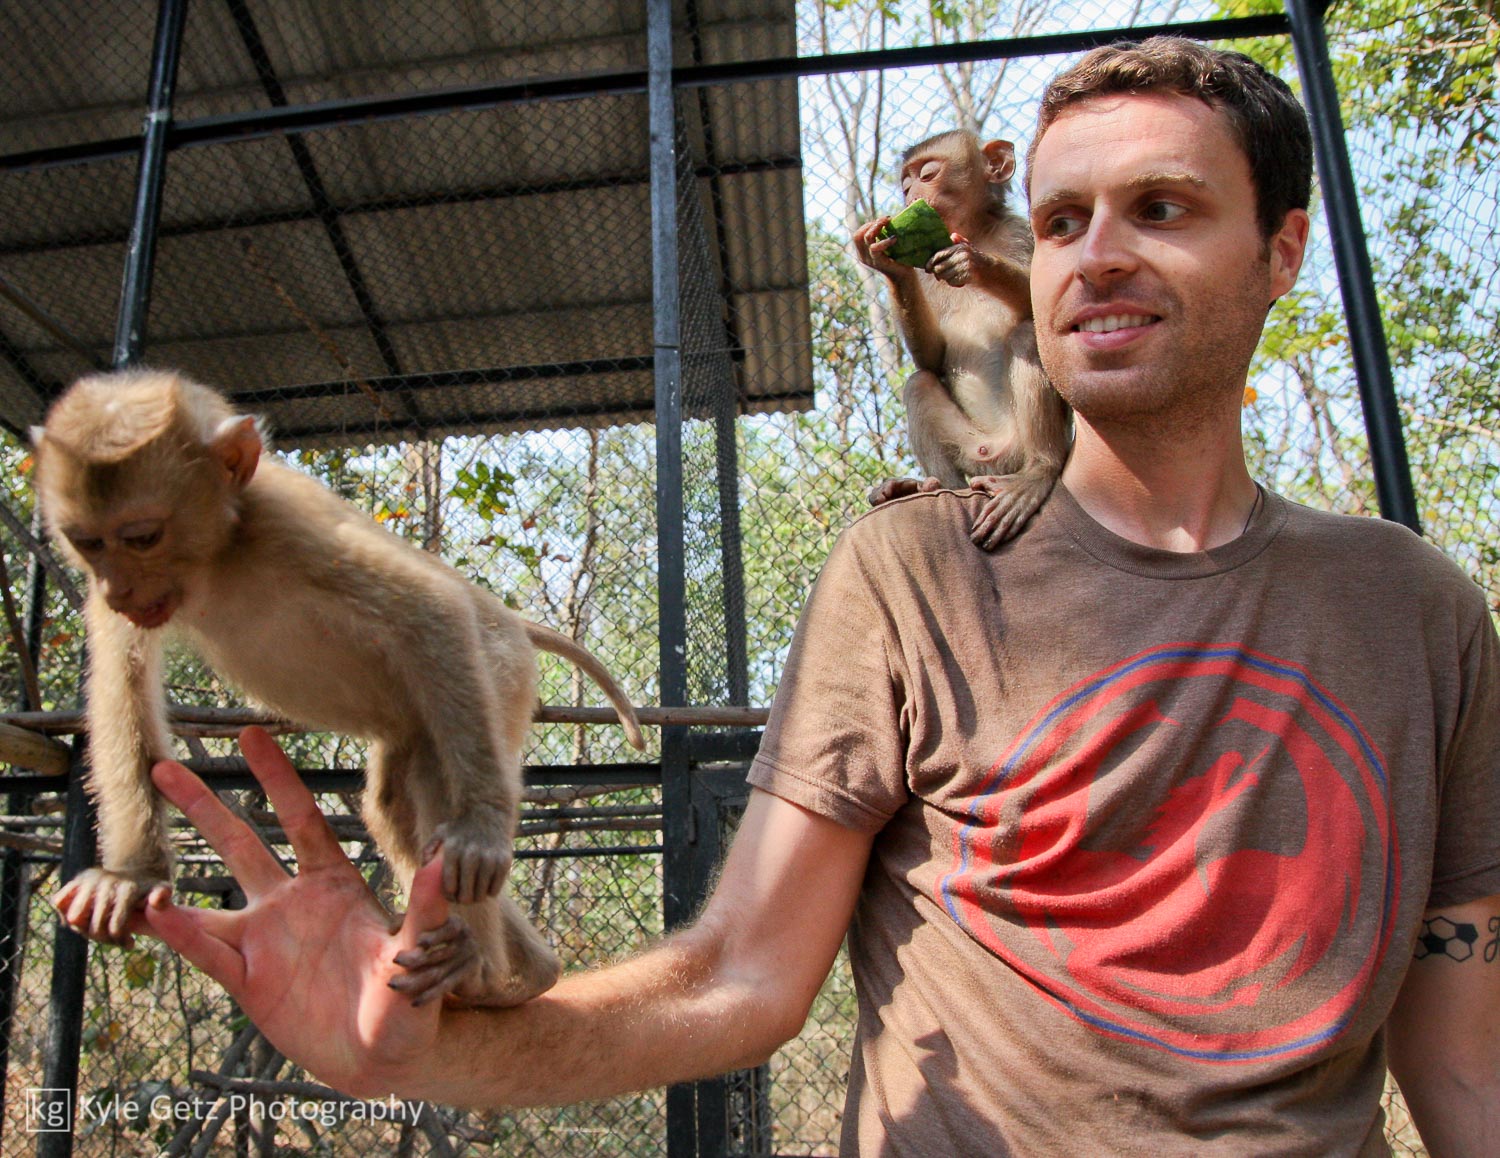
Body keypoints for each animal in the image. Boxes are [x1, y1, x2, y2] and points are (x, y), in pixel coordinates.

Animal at [33, 368, 647, 1008]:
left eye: (142, 537)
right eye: (88, 542)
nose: (119, 589)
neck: (215, 559)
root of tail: (513, 623)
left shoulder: (282, 523)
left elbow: (431, 610)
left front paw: (478, 831)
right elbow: (121, 685)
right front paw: (130, 878)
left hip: (499, 673)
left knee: (441, 762)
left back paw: (476, 965)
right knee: (395, 802)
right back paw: (529, 972)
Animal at [853, 130, 1071, 547]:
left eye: (928, 173)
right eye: (905, 182)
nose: (910, 193)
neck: (976, 230)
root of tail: (998, 457)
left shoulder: (1021, 232)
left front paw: (972, 262)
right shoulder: (924, 275)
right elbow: (931, 359)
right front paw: (888, 264)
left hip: (1018, 448)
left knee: (1027, 337)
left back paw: (1039, 471)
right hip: (974, 448)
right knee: (920, 384)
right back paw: (929, 487)